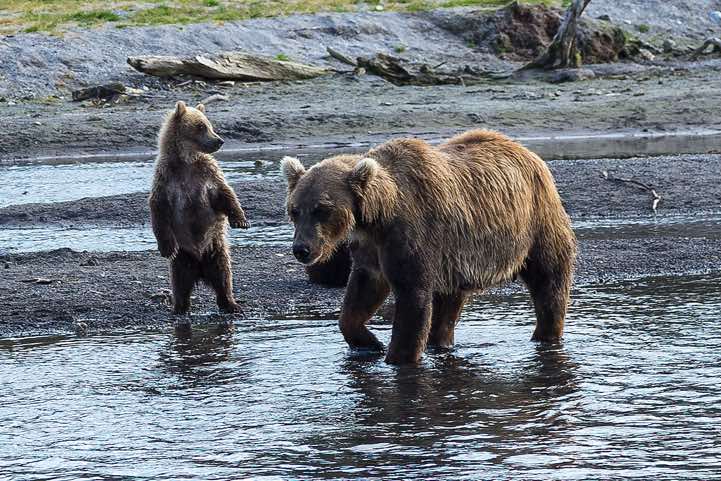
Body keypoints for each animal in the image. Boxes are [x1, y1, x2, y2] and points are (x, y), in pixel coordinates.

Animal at [149, 101, 249, 315]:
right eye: (201, 126)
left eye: (209, 124)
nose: (219, 140)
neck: (186, 161)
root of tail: (200, 269)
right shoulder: (166, 178)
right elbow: (158, 209)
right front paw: (166, 248)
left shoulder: (206, 174)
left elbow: (224, 193)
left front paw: (240, 220)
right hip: (182, 259)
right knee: (179, 282)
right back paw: (179, 307)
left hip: (216, 250)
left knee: (224, 277)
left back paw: (231, 304)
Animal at [282, 130, 576, 364]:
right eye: (294, 210)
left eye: (322, 209)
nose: (302, 249)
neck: (376, 216)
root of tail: (526, 152)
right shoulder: (370, 248)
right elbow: (362, 293)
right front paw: (370, 343)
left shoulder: (410, 235)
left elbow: (412, 298)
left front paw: (397, 358)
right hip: (456, 257)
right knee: (449, 304)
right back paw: (441, 342)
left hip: (536, 222)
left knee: (549, 280)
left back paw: (545, 336)